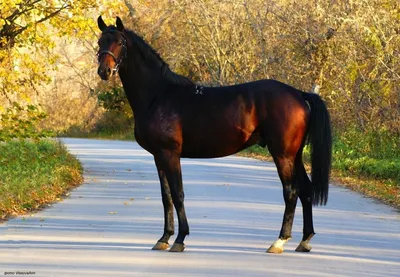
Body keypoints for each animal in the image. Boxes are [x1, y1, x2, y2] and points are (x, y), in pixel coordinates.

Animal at [97, 16, 332, 253]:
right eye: (100, 42)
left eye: (120, 42)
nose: (104, 71)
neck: (158, 95)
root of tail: (299, 94)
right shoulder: (158, 156)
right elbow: (166, 197)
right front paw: (164, 238)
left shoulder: (170, 154)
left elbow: (178, 194)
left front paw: (180, 239)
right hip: (295, 155)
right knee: (306, 190)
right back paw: (304, 240)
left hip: (283, 155)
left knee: (291, 192)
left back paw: (279, 241)